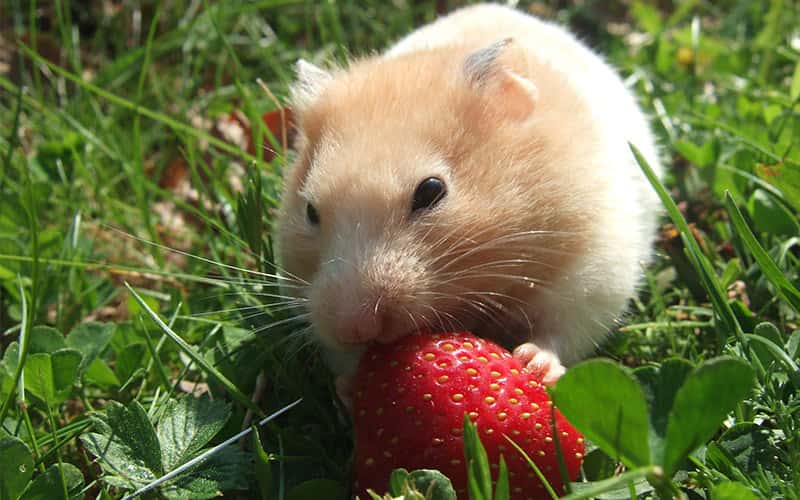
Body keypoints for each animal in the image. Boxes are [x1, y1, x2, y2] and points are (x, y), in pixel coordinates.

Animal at [276, 2, 664, 386]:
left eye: (431, 191)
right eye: (310, 211)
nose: (353, 327)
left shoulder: (594, 272)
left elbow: (561, 331)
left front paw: (532, 364)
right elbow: (345, 361)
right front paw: (350, 383)